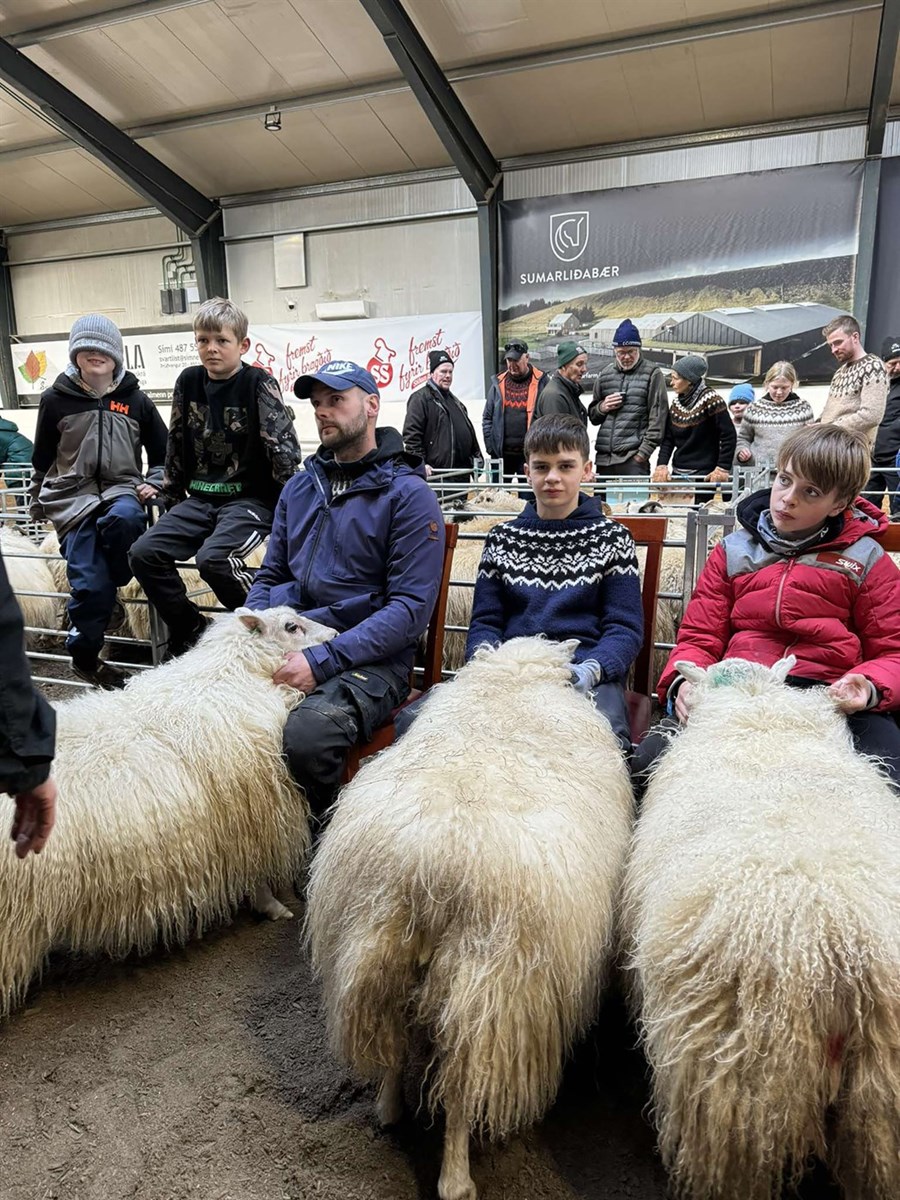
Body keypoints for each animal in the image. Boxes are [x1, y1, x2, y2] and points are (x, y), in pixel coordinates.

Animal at [0, 604, 336, 1017]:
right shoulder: (250, 811)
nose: (336, 635)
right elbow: (256, 874)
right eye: (292, 627)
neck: (235, 674)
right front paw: (271, 907)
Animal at [307, 638, 628, 1200]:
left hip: (375, 952)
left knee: (394, 1042)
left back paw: (388, 1108)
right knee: (459, 1091)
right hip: (487, 989)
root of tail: (428, 872)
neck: (512, 681)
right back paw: (457, 1180)